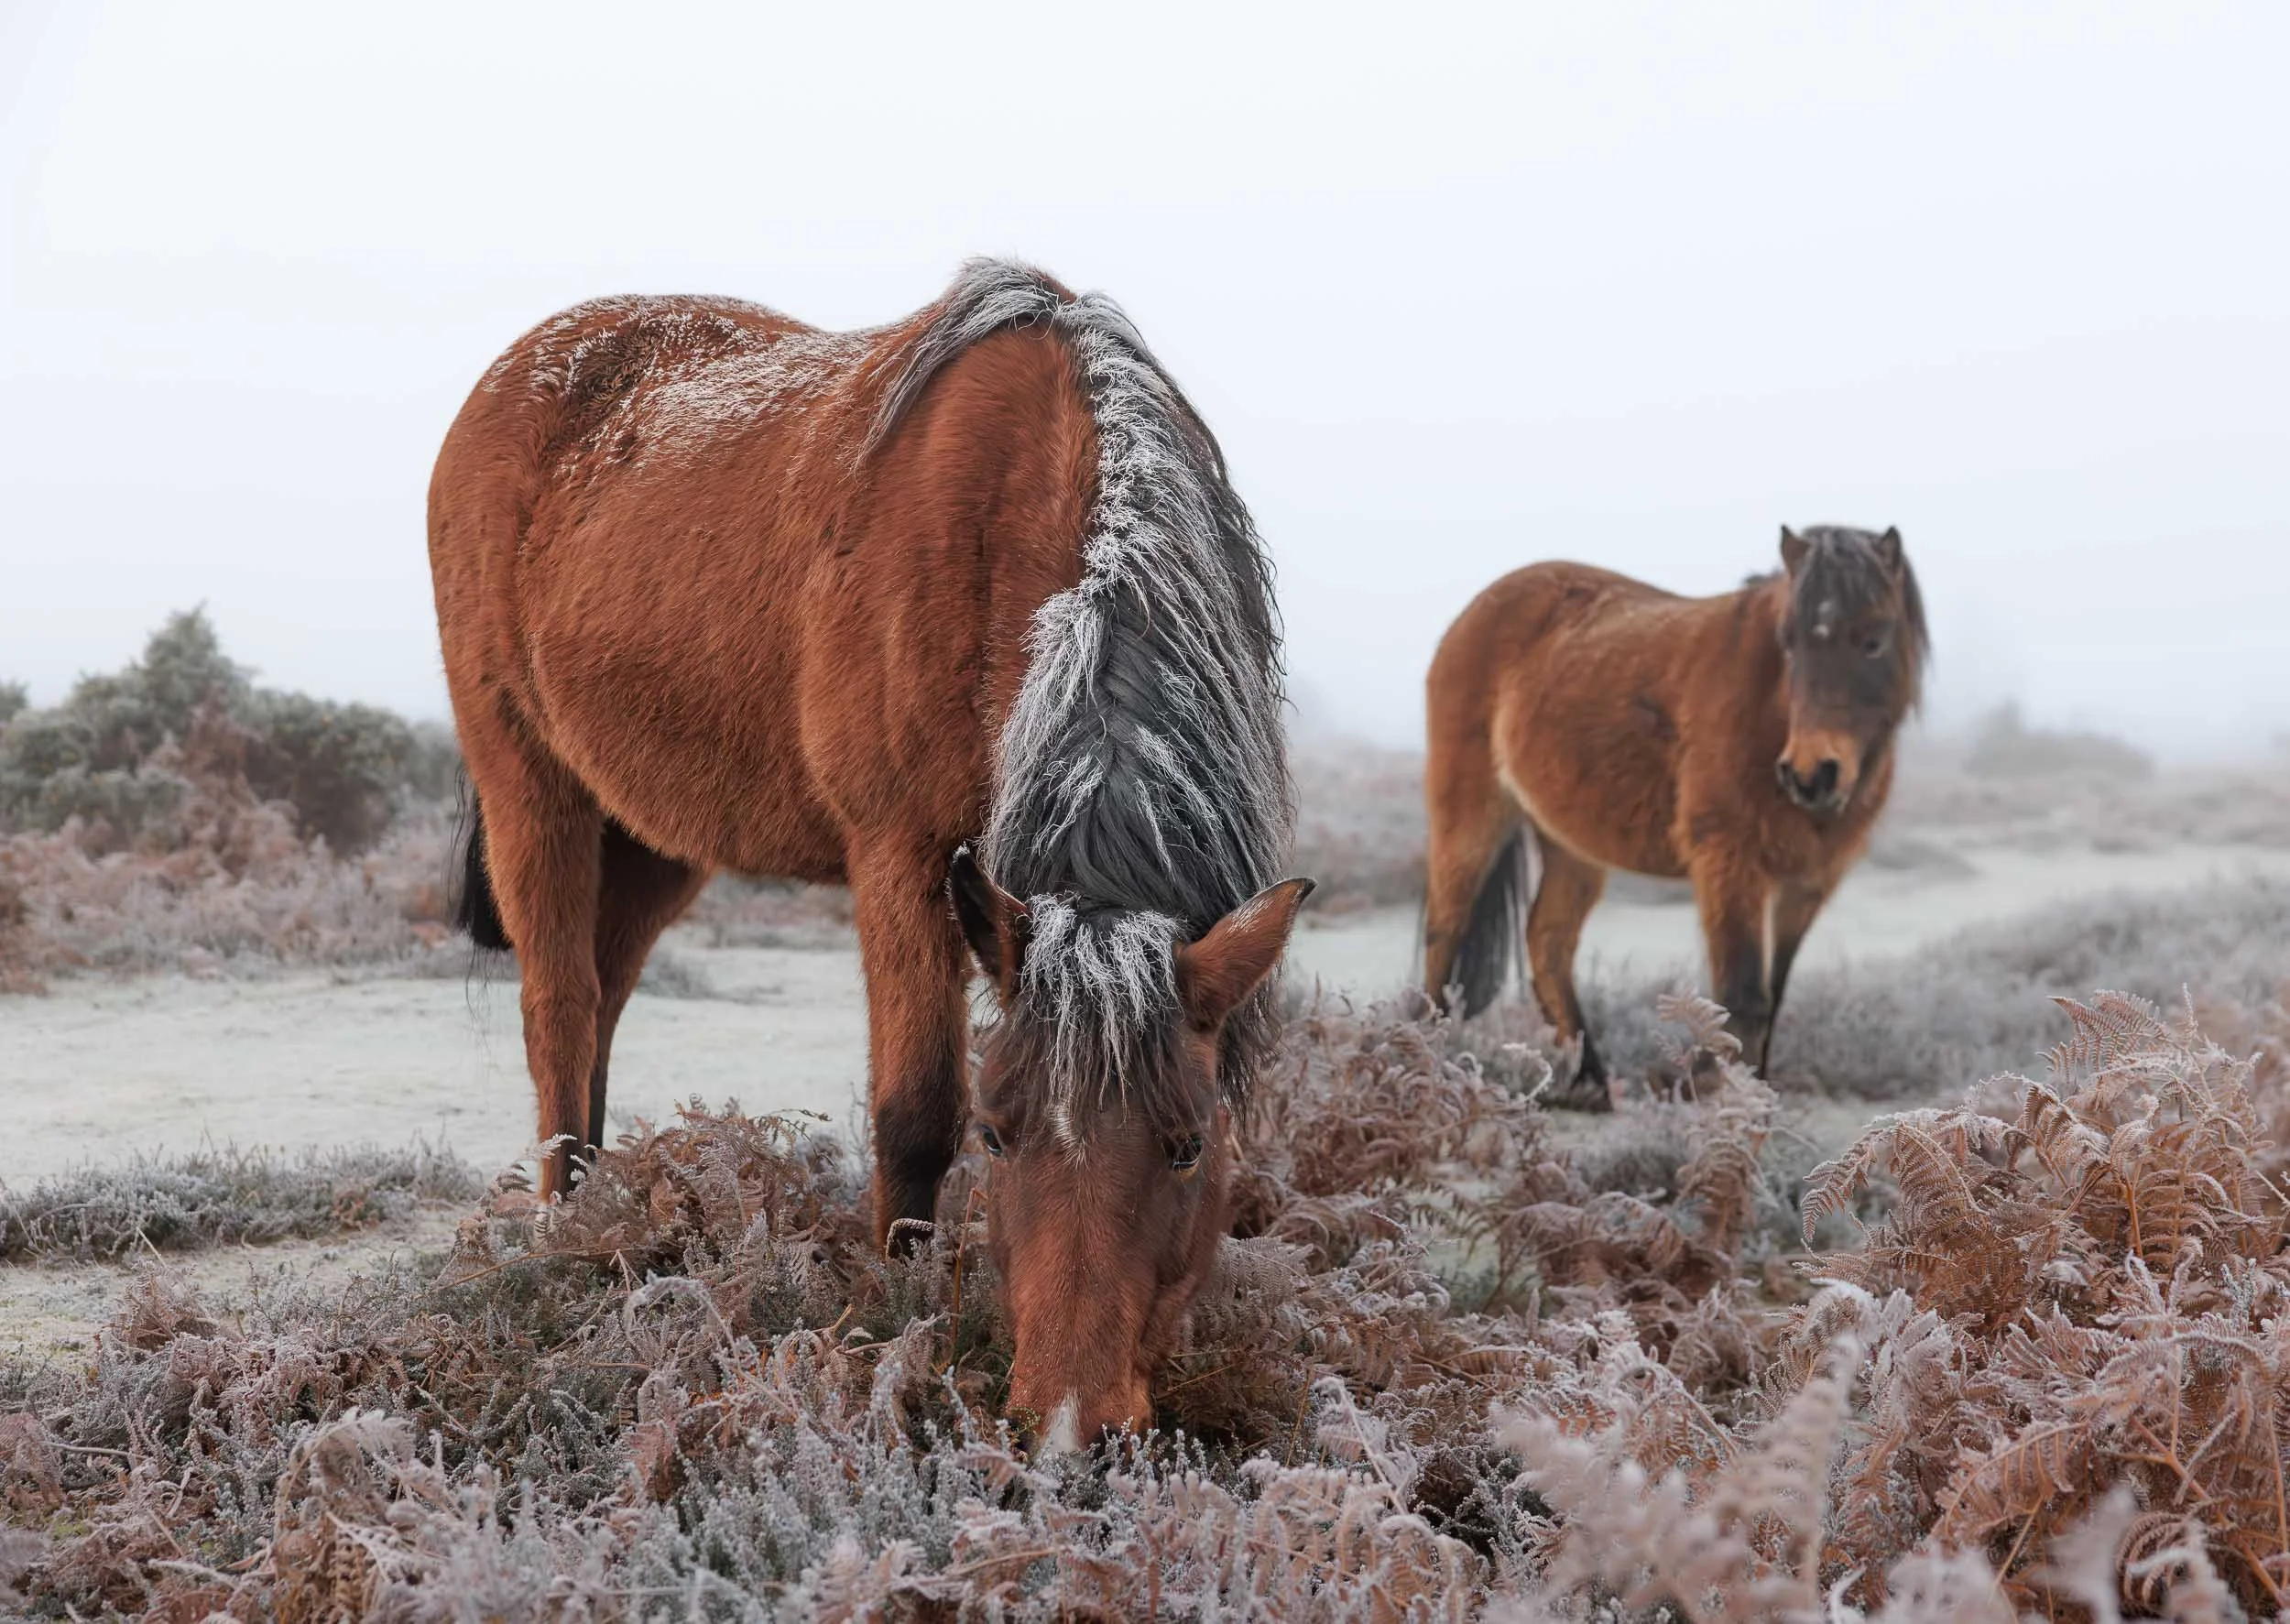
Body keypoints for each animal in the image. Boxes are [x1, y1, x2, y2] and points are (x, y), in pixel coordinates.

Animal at [428, 260, 1311, 1448]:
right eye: (1000, 1134)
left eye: (1186, 1145)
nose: (1070, 1426)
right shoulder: (901, 855)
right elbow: (911, 1115)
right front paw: (903, 1314)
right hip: (533, 784)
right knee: (559, 1011)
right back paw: (569, 1231)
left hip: (654, 835)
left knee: (602, 1000)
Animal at [1420, 527, 1927, 1096]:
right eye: (1789, 643)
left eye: (1874, 639)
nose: (1810, 774)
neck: (1765, 707)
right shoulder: (1728, 863)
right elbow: (1742, 998)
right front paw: (1725, 1097)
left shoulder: (1808, 885)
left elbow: (1774, 995)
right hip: (1471, 818)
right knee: (1445, 930)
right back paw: (1426, 1060)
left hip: (1571, 845)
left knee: (1548, 942)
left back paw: (1590, 1084)